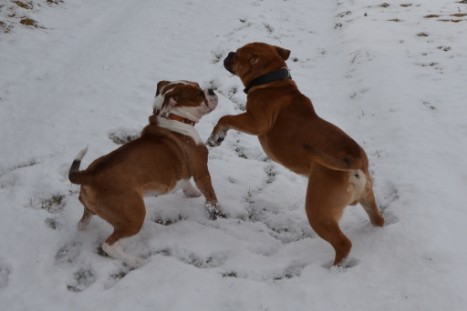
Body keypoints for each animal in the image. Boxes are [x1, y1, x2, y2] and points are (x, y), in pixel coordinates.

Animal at [68, 80, 224, 268]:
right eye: (199, 94)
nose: (211, 90)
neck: (173, 118)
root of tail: (90, 174)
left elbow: (186, 182)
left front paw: (192, 193)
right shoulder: (201, 170)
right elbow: (211, 194)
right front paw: (216, 211)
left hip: (91, 211)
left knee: (82, 224)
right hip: (134, 216)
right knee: (109, 244)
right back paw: (135, 261)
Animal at [208, 42, 384, 266]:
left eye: (238, 55)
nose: (229, 53)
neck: (272, 80)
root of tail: (353, 158)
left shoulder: (255, 121)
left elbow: (226, 117)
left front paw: (216, 137)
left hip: (318, 211)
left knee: (343, 244)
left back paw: (333, 268)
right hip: (367, 197)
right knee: (377, 219)